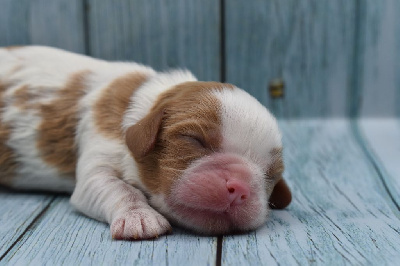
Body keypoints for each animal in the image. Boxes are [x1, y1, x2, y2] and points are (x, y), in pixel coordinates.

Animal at [0, 45, 294, 239]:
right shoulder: (99, 154)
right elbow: (118, 187)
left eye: (271, 174)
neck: (143, 103)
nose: (240, 188)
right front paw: (139, 218)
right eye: (194, 139)